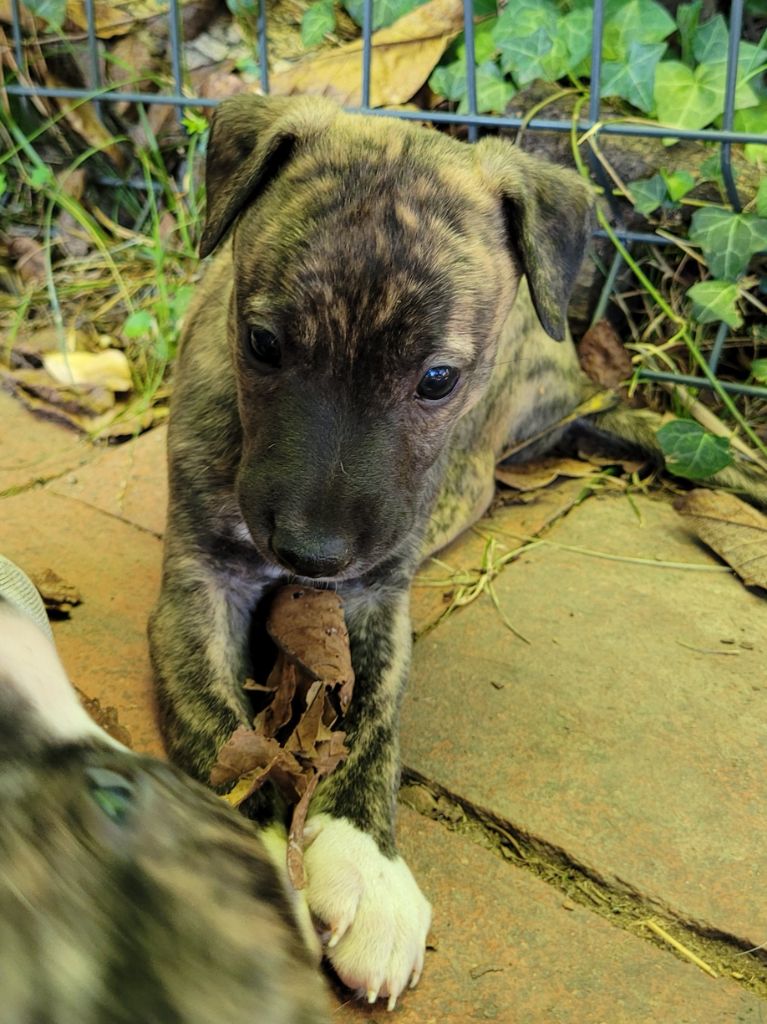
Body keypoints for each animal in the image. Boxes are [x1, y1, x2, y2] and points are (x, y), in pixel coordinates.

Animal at [148, 94, 765, 1007]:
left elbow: (373, 721)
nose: (311, 553)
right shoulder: (197, 584)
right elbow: (222, 735)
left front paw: (367, 863)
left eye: (436, 380)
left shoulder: (375, 598)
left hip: (502, 441)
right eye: (260, 344)